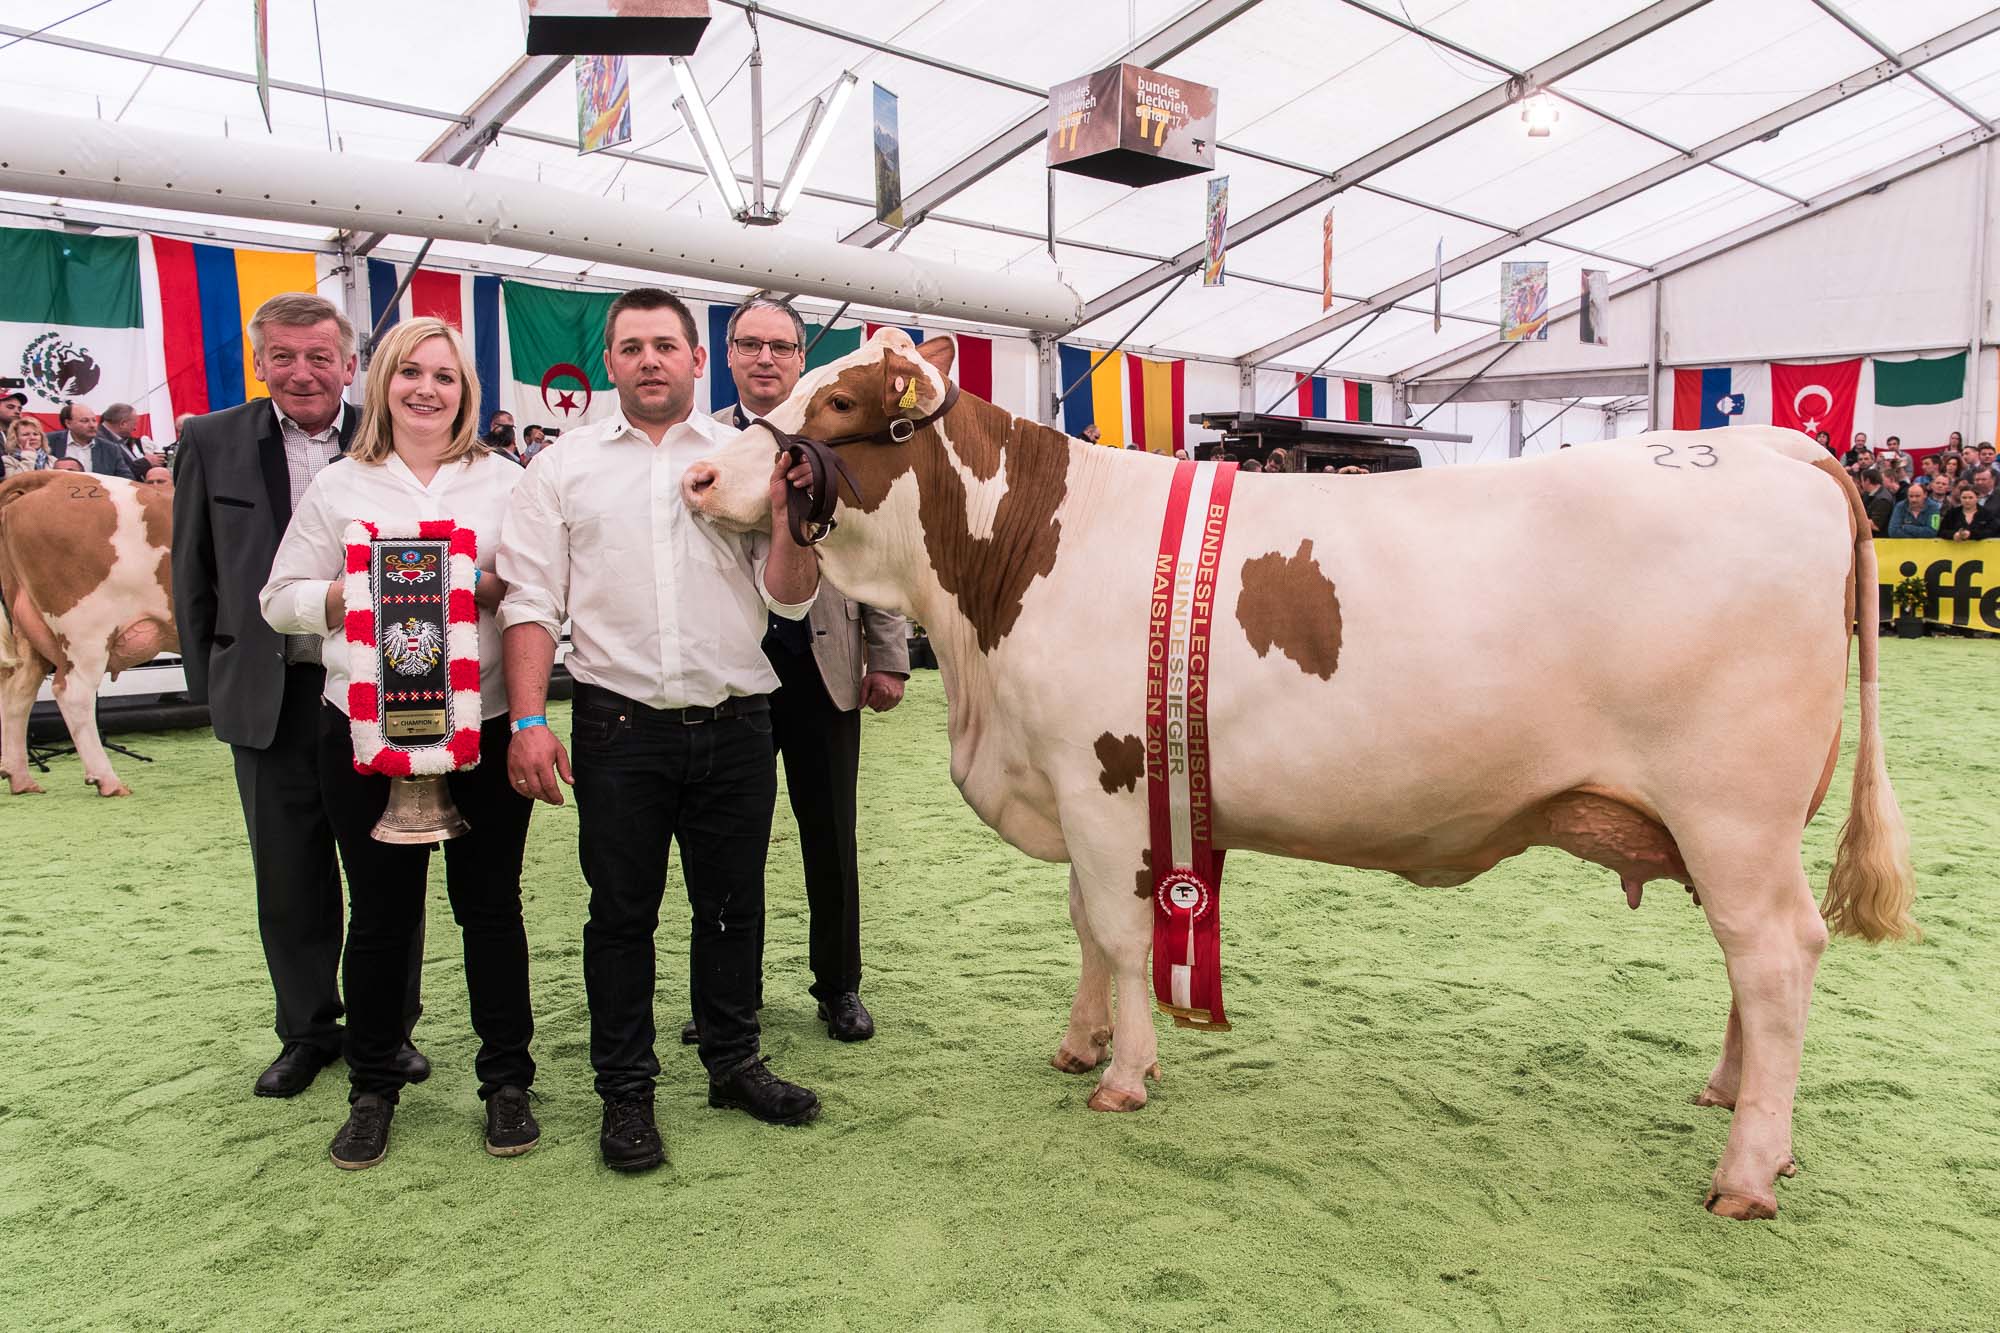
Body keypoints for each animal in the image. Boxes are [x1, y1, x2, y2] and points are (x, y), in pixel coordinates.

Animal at [0, 472, 177, 792]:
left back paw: (20, 778)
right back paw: (107, 780)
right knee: (73, 693)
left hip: (29, 631)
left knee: (17, 692)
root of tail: (55, 477)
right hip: (86, 631)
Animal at [688, 330, 1920, 1216]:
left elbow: (1121, 934)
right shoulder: (1081, 789)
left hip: (1733, 811)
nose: (697, 472)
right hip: (1734, 826)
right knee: (1753, 966)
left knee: (1775, 956)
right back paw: (1732, 1097)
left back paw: (1745, 1171)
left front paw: (1125, 1073)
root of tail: (1776, 447)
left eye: (834, 409)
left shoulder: (1101, 779)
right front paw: (1079, 1041)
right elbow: (1085, 924)